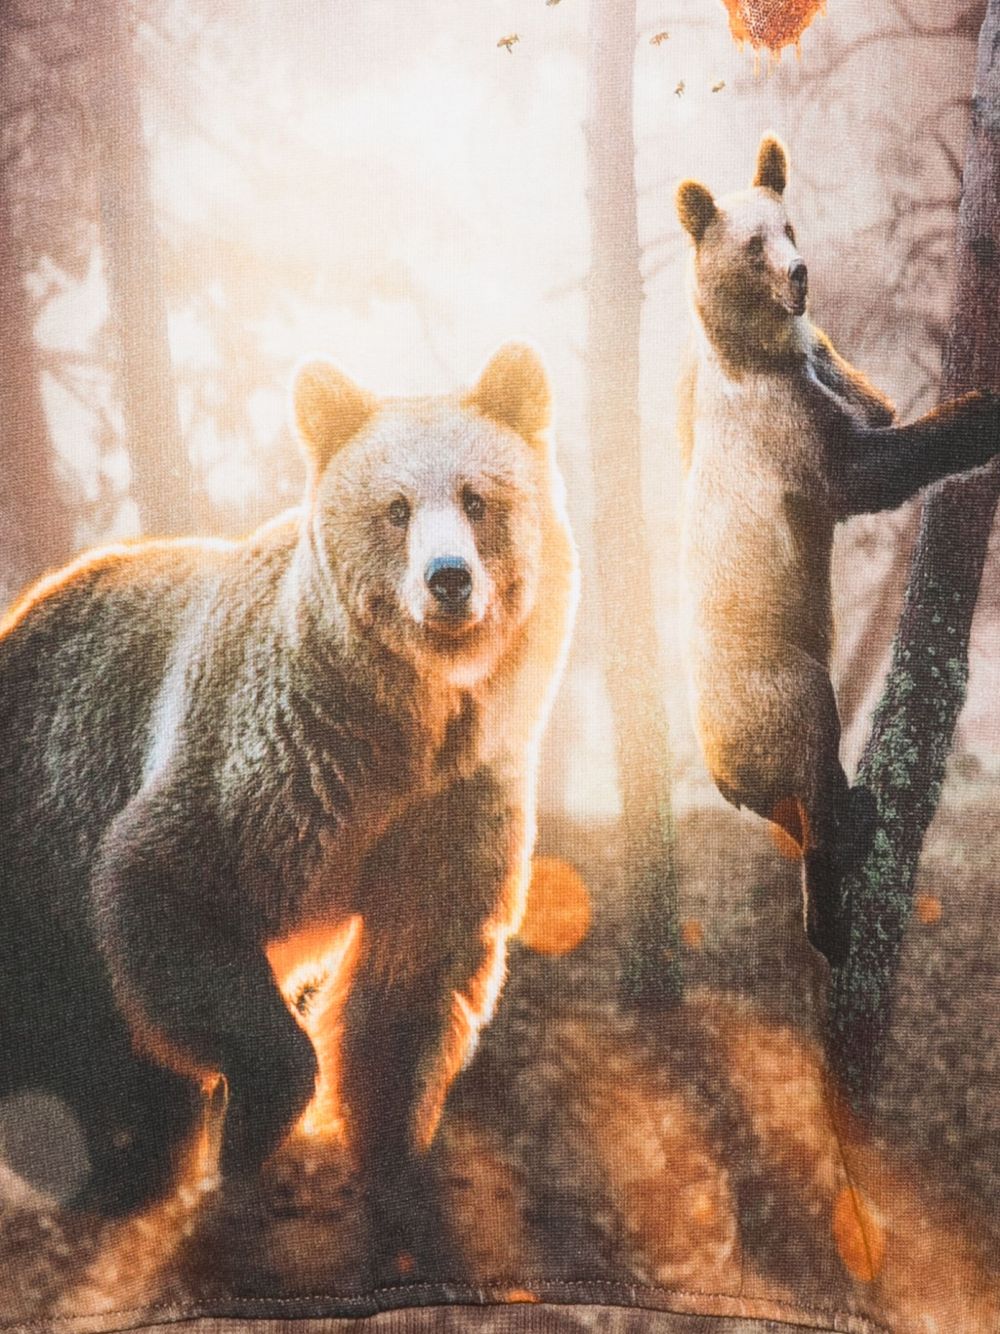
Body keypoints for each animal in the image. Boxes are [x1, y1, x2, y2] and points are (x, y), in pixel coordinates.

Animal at [0, 342, 579, 1268]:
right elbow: (164, 889)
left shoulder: (450, 806)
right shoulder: (274, 767)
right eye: (394, 508)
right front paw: (251, 1136)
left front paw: (393, 1170)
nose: (448, 579)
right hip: (37, 860)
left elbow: (412, 987)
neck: (405, 730)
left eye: (478, 498)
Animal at [674, 134, 1000, 967]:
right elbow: (865, 471)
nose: (799, 273)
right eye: (753, 245)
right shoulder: (780, 427)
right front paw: (981, 409)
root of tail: (720, 772)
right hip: (774, 678)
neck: (760, 350)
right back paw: (841, 860)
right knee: (813, 754)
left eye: (789, 225)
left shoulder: (816, 368)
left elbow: (869, 398)